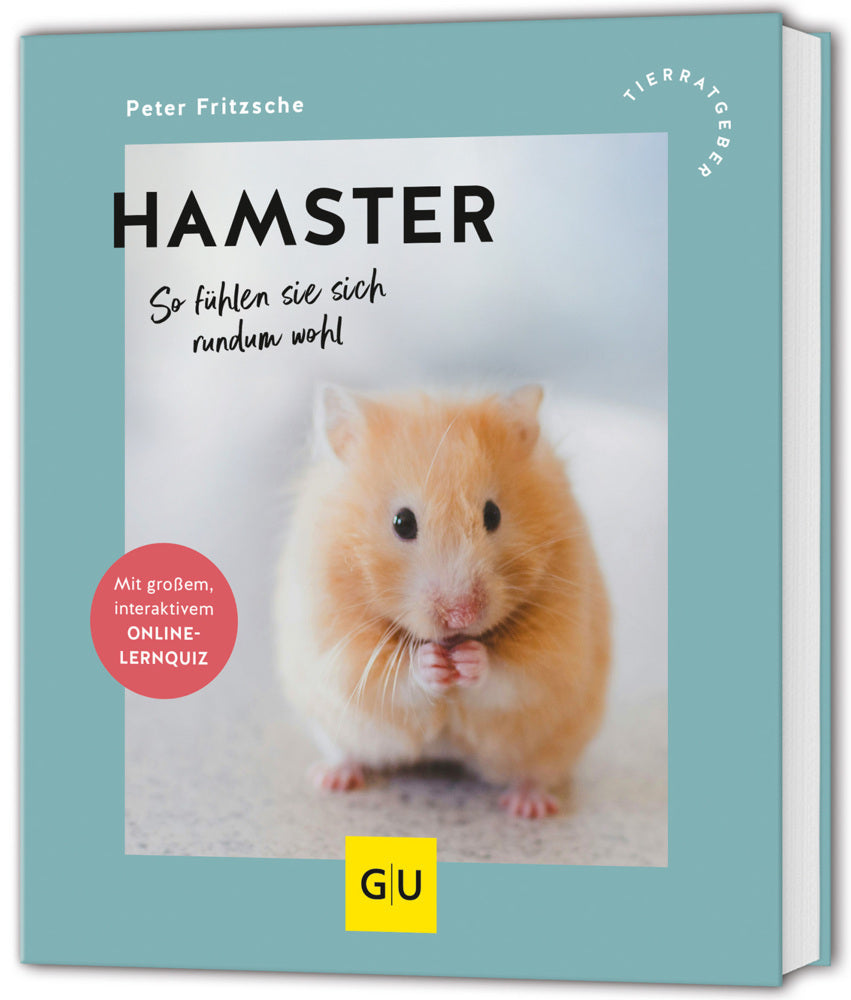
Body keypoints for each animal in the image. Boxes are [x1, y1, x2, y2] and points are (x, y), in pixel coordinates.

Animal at [275, 385, 610, 818]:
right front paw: (432, 663)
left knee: (534, 773)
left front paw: (469, 660)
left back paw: (529, 806)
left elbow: (511, 676)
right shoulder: (337, 647)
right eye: (402, 522)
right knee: (347, 752)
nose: (461, 615)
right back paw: (331, 779)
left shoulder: (556, 653)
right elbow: (391, 677)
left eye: (493, 514)